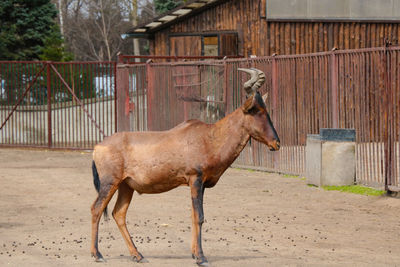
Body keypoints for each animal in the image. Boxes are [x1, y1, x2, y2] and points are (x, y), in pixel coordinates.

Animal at [90, 68, 280, 266]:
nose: (276, 143)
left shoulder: (200, 184)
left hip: (126, 186)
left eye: (265, 109)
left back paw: (138, 255)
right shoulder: (195, 179)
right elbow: (199, 216)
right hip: (110, 184)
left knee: (118, 213)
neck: (209, 136)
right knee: (96, 209)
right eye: (255, 110)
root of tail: (98, 147)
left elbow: (193, 216)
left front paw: (195, 254)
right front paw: (201, 258)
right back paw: (98, 254)